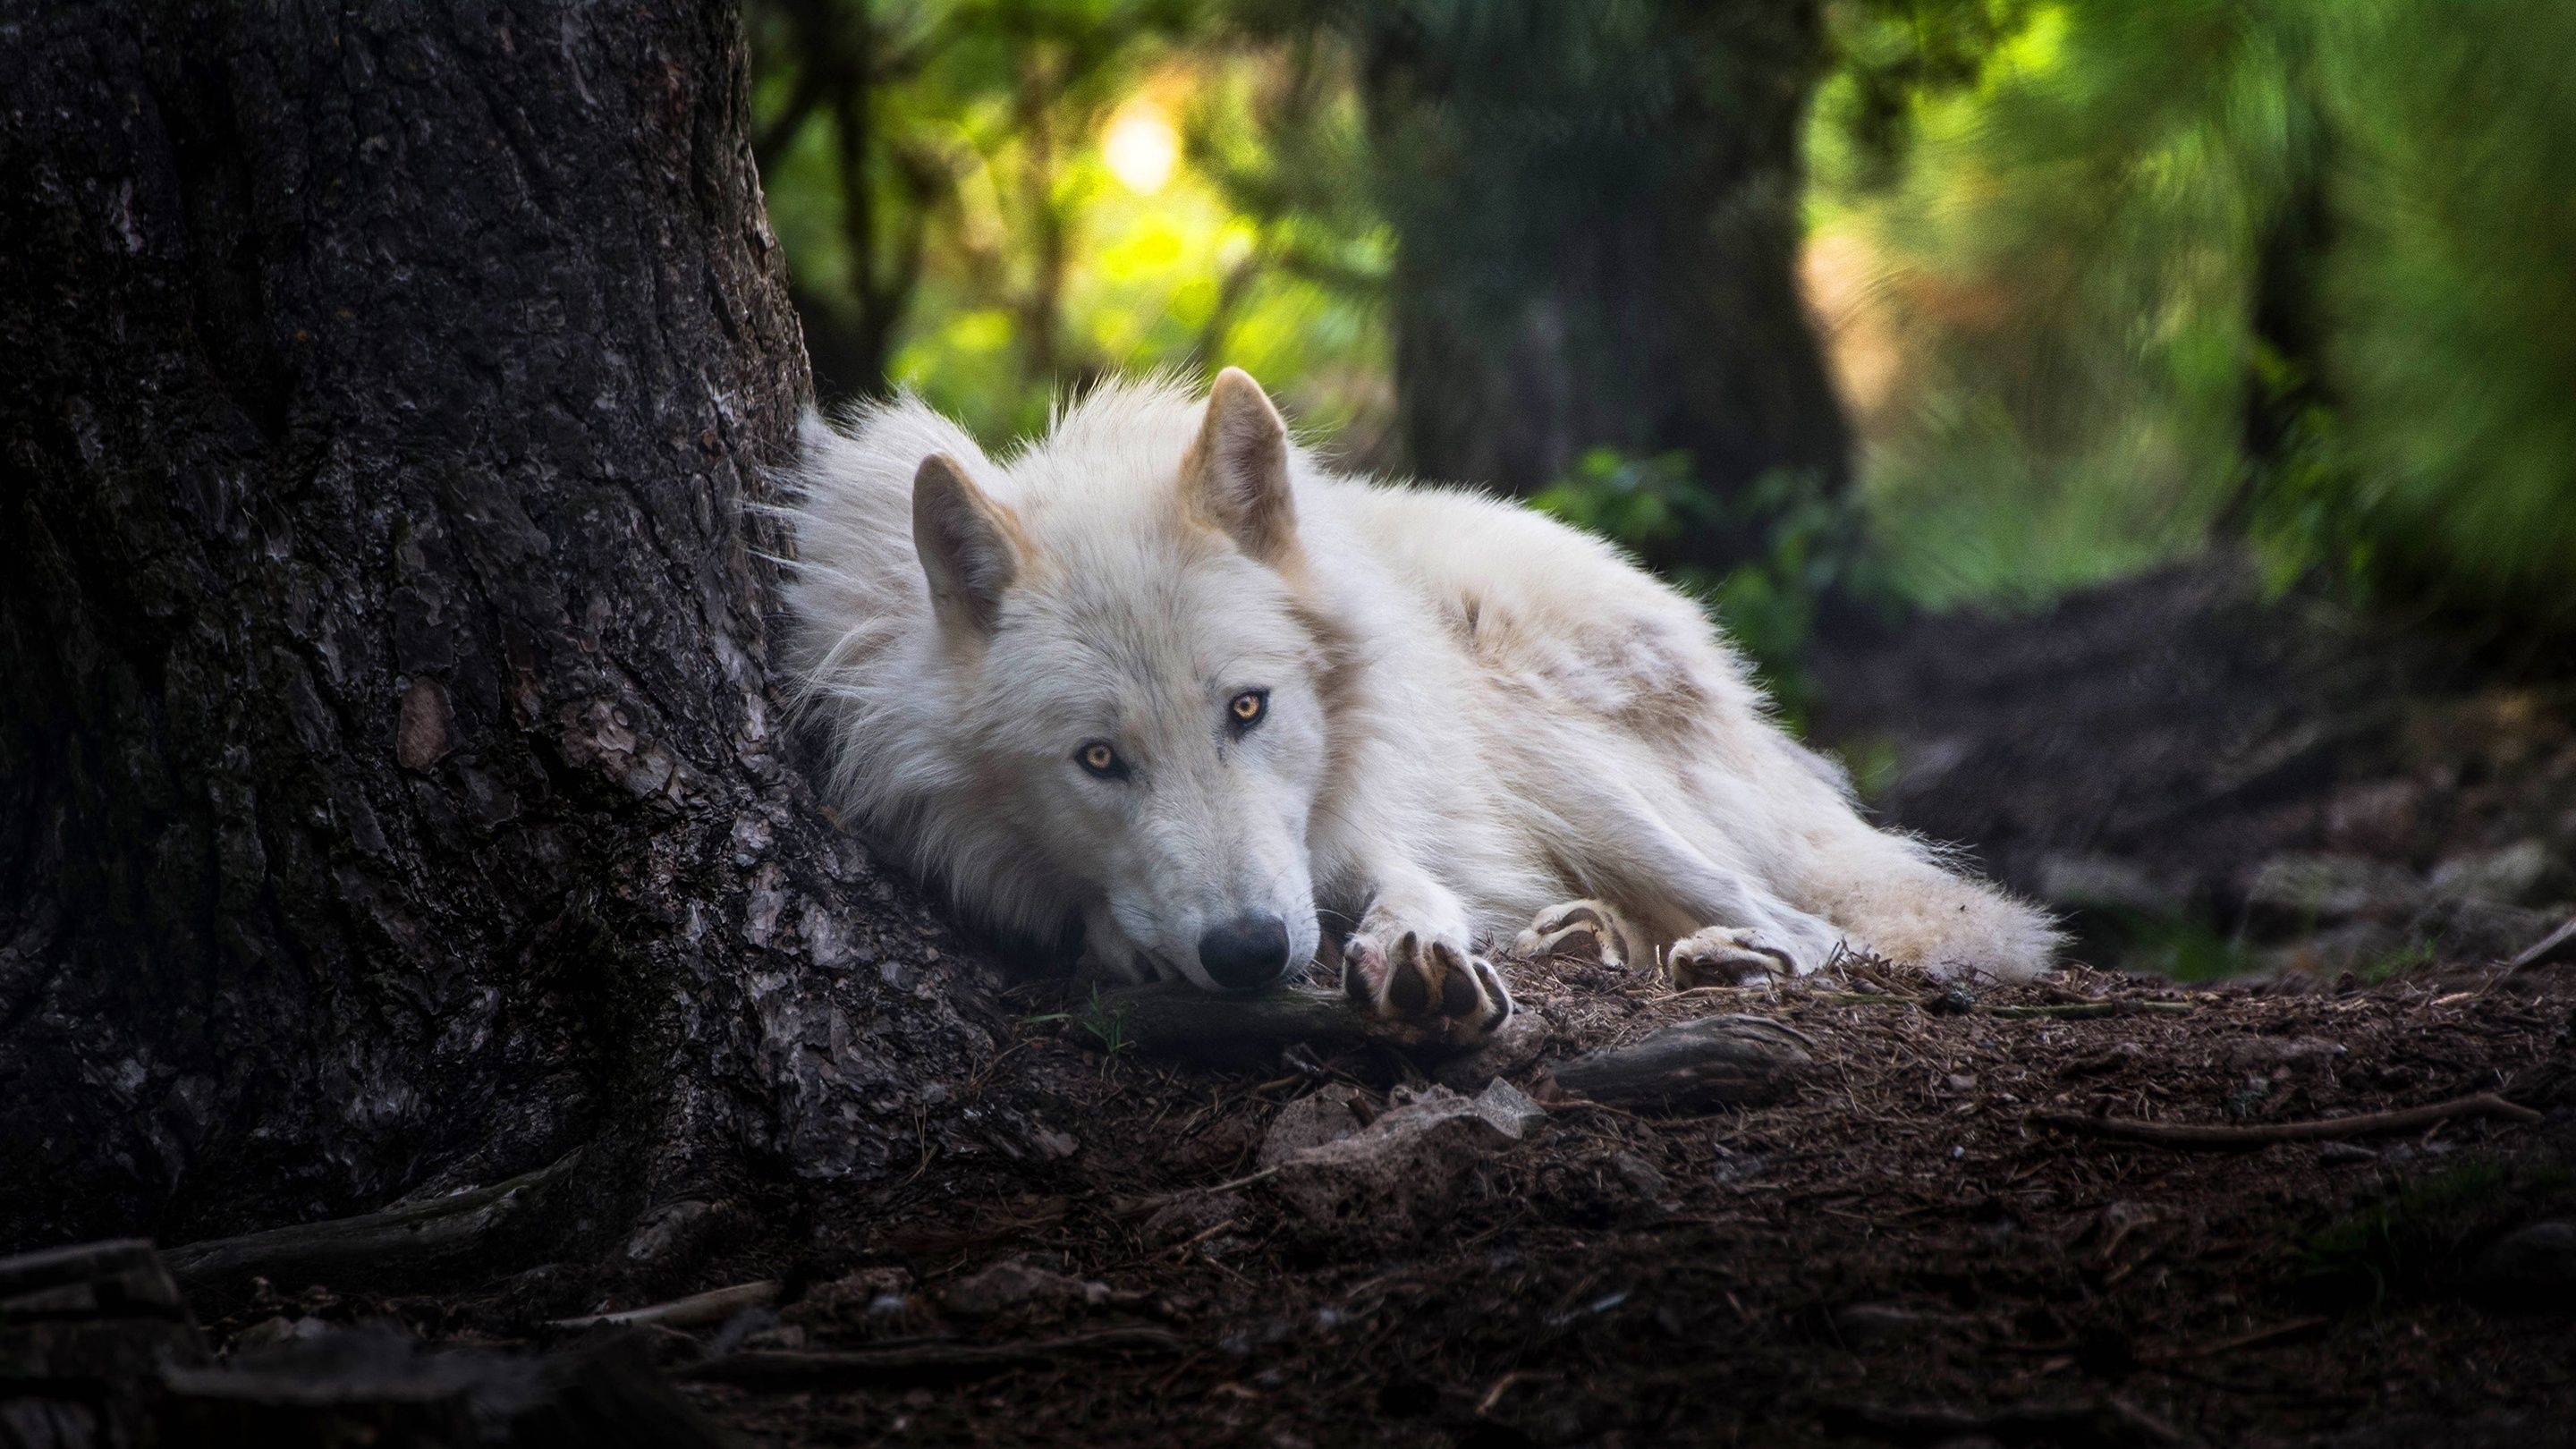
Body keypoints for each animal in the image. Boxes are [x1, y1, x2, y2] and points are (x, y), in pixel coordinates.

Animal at [783, 366, 2050, 1031]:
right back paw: (1591, 936)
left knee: (1823, 930)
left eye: (1249, 709)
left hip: (1560, 763)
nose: (1248, 952)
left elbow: (1407, 885)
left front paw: (1415, 957)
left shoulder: (1380, 818)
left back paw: (1721, 959)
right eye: (1099, 760)